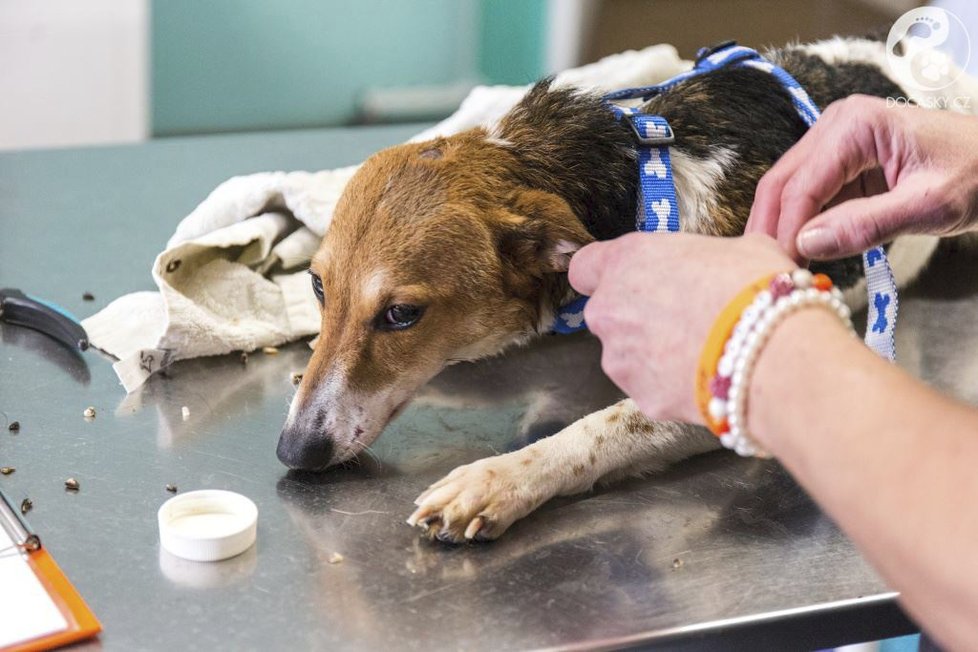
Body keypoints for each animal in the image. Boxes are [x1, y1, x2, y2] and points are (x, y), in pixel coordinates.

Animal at [274, 35, 968, 544]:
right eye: (316, 285)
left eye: (401, 314)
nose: (294, 449)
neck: (636, 186)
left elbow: (596, 429)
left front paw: (497, 479)